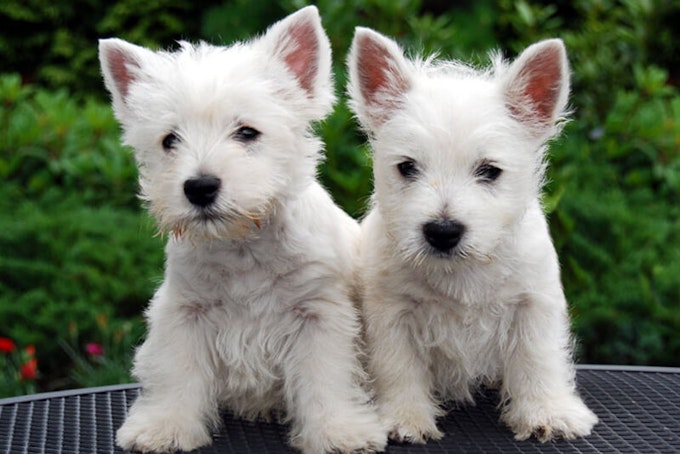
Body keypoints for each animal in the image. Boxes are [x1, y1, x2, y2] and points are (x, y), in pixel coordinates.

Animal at [100, 7, 388, 454]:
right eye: (169, 140)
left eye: (247, 132)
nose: (200, 187)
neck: (243, 245)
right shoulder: (184, 312)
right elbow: (175, 373)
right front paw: (164, 427)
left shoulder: (319, 314)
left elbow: (326, 378)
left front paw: (339, 431)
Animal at [348, 28, 596, 444]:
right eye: (407, 167)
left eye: (490, 171)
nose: (442, 231)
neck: (463, 272)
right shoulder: (391, 312)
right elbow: (397, 365)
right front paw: (403, 417)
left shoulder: (533, 304)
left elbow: (538, 358)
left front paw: (548, 412)